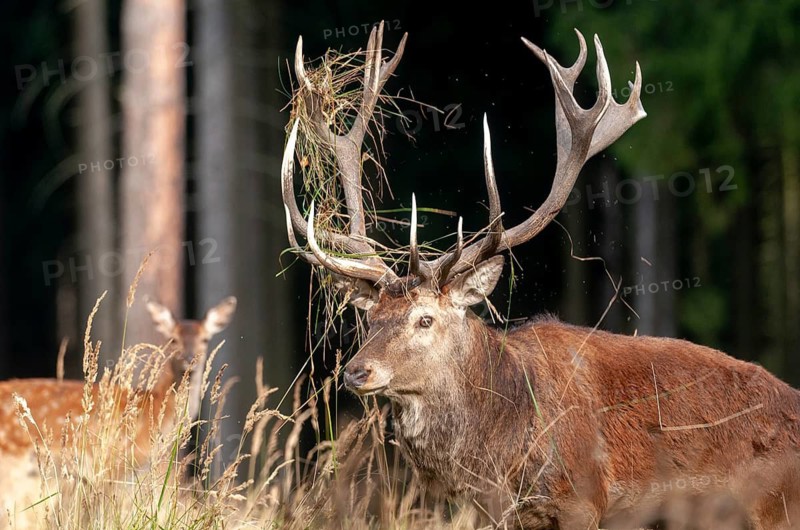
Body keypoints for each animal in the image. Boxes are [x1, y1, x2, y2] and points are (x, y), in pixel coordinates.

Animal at [281, 22, 800, 530]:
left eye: (424, 318)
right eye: (370, 319)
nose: (356, 372)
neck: (500, 453)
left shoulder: (582, 500)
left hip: (775, 507)